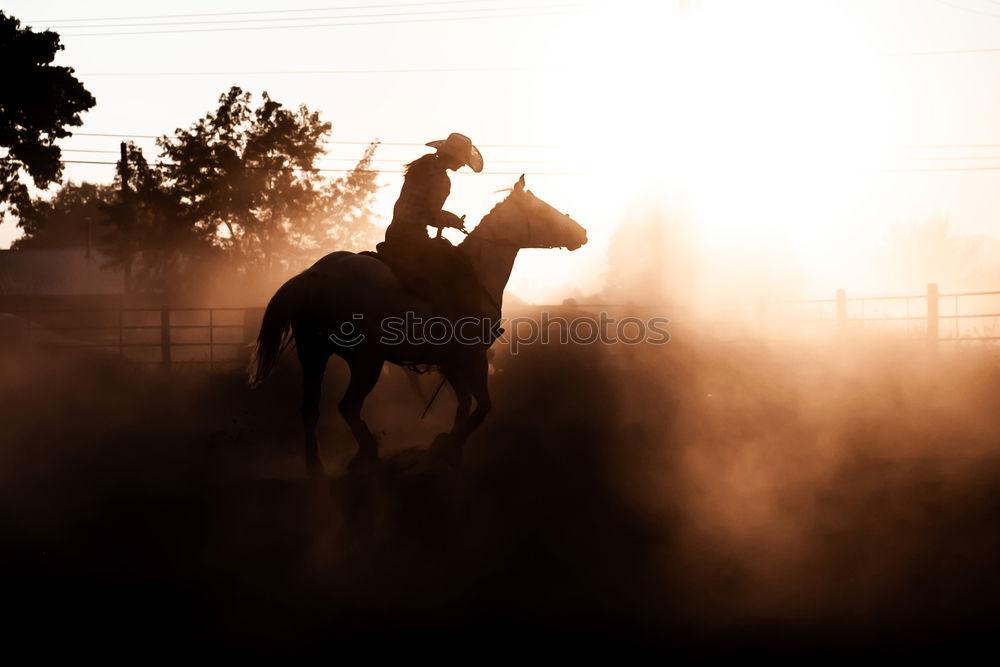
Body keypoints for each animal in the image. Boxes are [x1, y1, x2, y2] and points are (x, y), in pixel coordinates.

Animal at [249, 175, 584, 472]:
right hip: (365, 361)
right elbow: (482, 406)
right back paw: (369, 454)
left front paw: (448, 447)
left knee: (310, 409)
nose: (582, 233)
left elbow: (464, 403)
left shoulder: (450, 362)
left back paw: (316, 467)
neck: (478, 269)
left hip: (314, 354)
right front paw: (447, 446)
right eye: (542, 208)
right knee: (348, 406)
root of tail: (315, 274)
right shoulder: (471, 357)